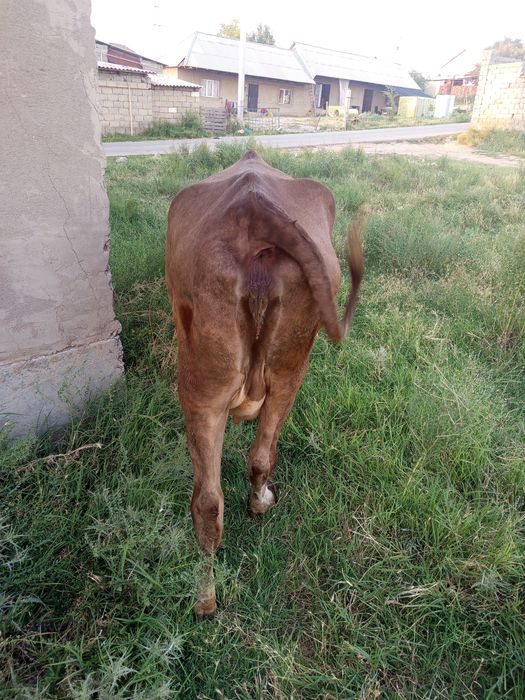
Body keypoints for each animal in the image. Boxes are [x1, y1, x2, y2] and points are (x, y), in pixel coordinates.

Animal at [166, 150, 365, 618]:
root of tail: (254, 207)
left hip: (213, 388)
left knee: (212, 496)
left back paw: (207, 593)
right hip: (279, 373)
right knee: (238, 475)